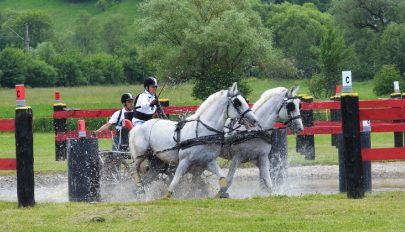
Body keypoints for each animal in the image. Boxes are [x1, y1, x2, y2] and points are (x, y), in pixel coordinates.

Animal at [128, 82, 258, 198]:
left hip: (157, 163)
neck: (202, 132)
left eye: (244, 100)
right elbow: (175, 181)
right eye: (237, 103)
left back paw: (137, 192)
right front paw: (166, 197)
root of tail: (137, 128)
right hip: (140, 156)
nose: (254, 120)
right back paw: (138, 187)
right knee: (133, 171)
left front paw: (221, 194)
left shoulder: (208, 161)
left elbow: (222, 178)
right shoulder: (184, 161)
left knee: (147, 177)